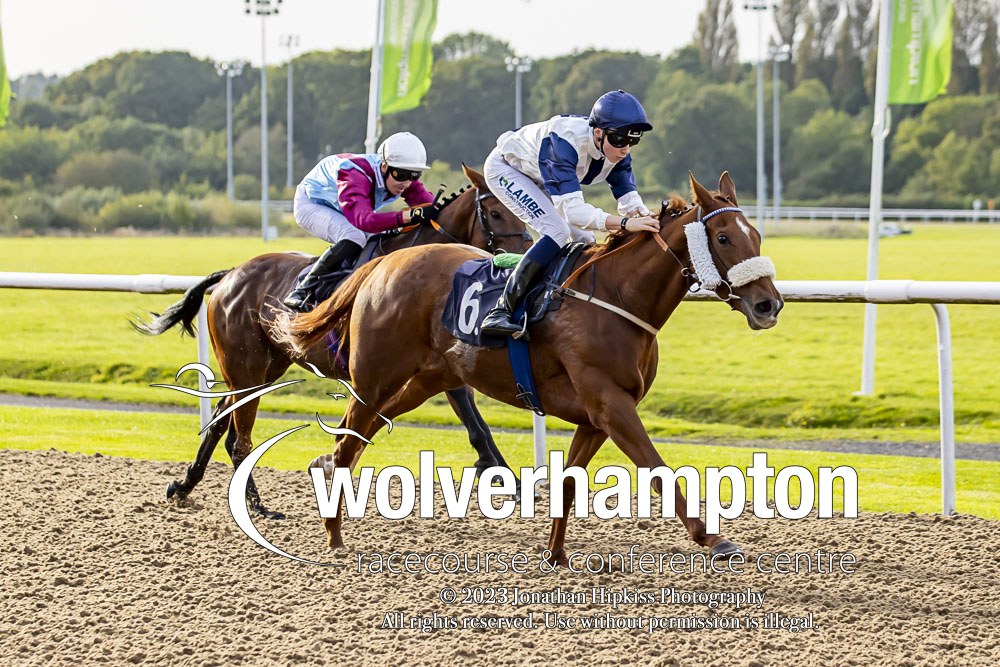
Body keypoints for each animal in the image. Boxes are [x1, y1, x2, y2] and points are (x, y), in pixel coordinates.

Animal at [137, 164, 536, 520]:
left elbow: (472, 416)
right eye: (496, 213)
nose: (526, 253)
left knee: (223, 420)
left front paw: (505, 475)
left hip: (266, 366)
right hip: (245, 364)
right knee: (235, 432)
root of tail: (229, 275)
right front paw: (503, 476)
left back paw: (187, 486)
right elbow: (471, 416)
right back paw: (254, 505)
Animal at [278, 174, 784, 564]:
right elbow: (657, 469)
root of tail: (386, 261)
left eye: (756, 236)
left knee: (359, 433)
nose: (769, 305)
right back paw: (333, 532)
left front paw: (555, 553)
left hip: (428, 379)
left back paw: (325, 475)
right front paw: (713, 538)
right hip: (374, 374)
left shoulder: (595, 417)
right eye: (723, 238)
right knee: (349, 440)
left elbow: (569, 483)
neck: (617, 297)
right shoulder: (612, 406)